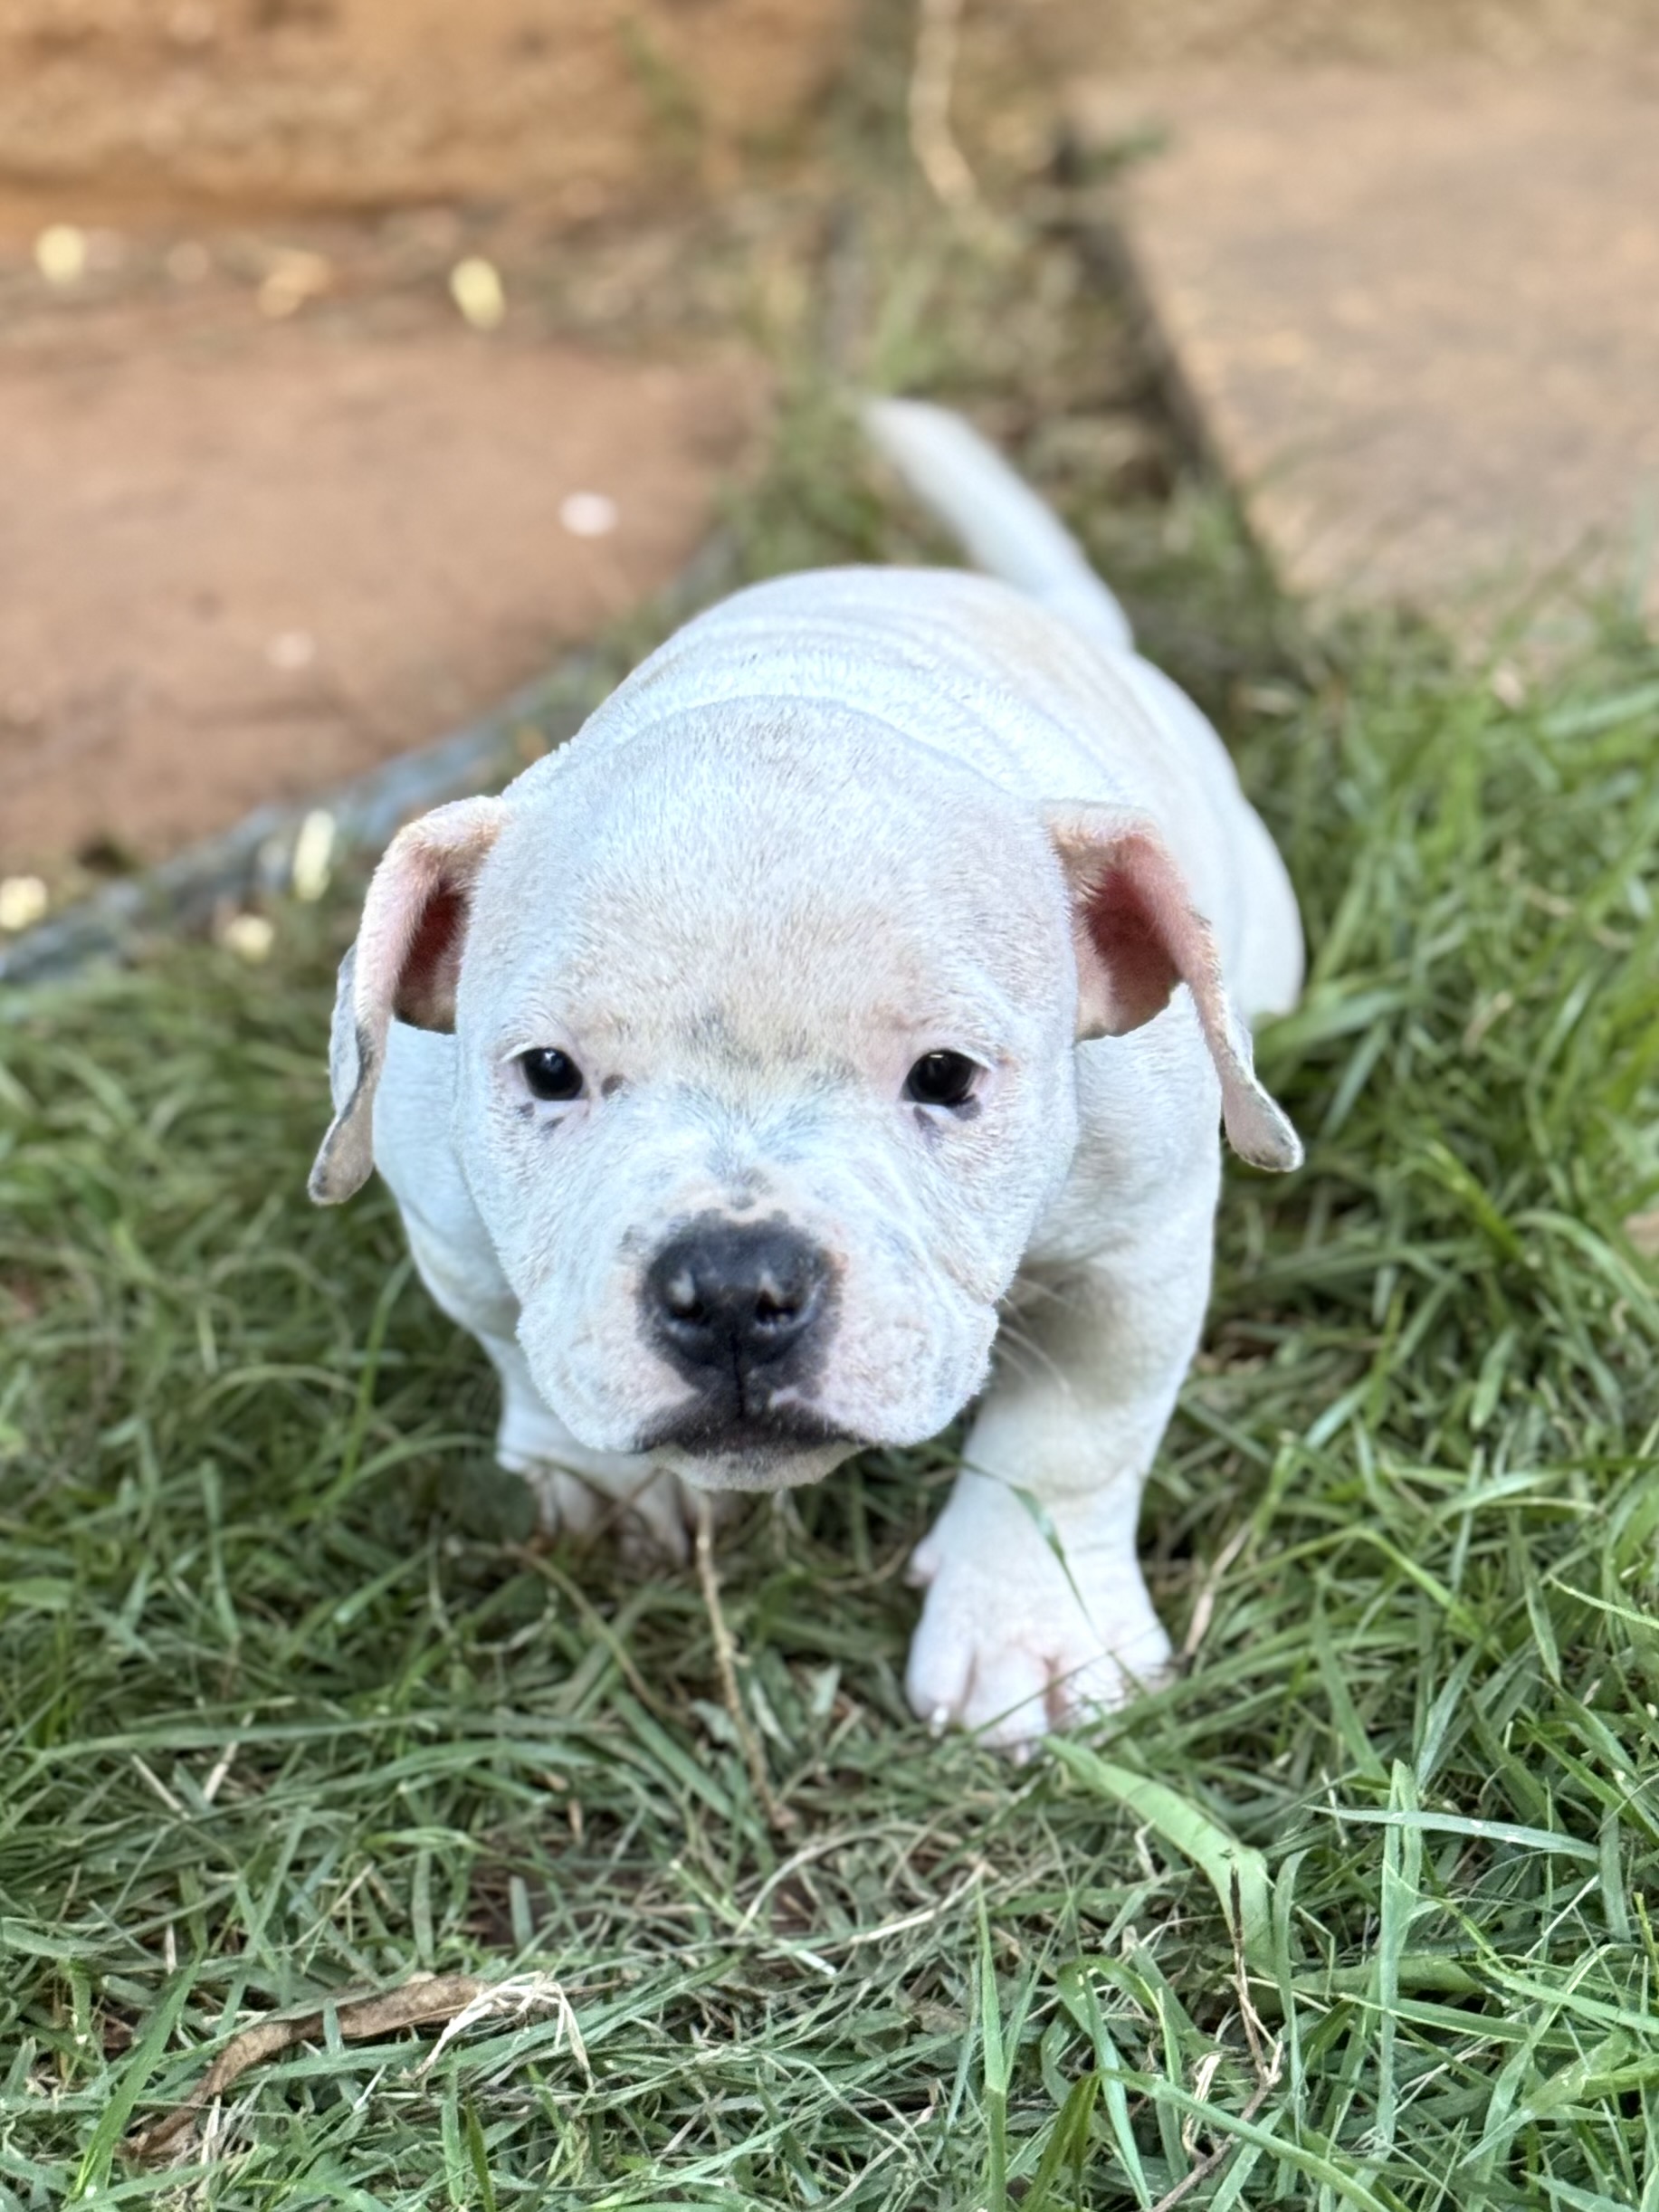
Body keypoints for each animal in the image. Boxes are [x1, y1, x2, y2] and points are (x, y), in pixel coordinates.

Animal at [310, 402, 1301, 1742]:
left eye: (947, 1076)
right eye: (550, 1072)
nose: (734, 1293)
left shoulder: (1134, 1248)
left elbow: (1073, 1436)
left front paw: (1030, 1634)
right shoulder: (453, 1228)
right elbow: (519, 1348)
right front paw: (595, 1482)